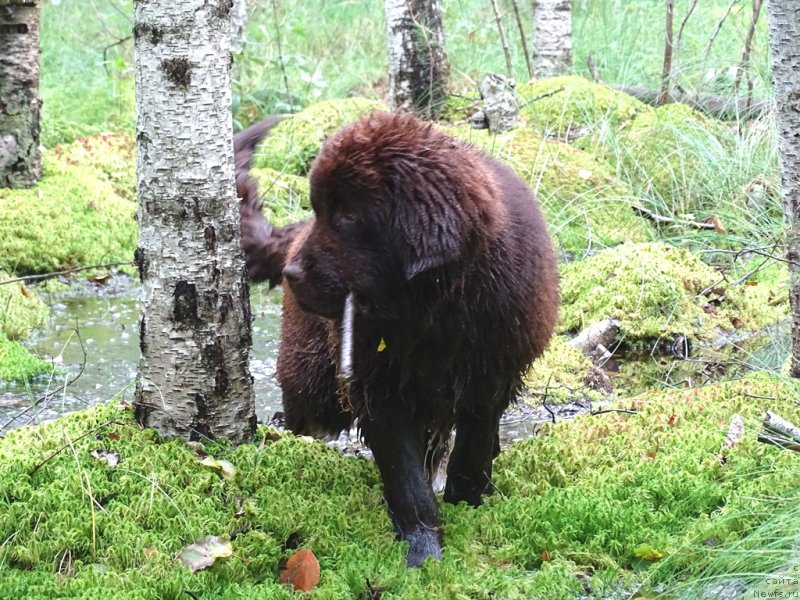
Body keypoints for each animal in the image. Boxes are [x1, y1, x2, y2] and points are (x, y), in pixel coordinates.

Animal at [238, 112, 564, 568]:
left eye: (349, 214)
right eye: (322, 209)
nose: (292, 274)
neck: (436, 309)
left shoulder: (491, 373)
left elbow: (472, 448)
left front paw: (468, 502)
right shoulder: (380, 389)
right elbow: (406, 479)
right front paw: (422, 551)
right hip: (314, 379)